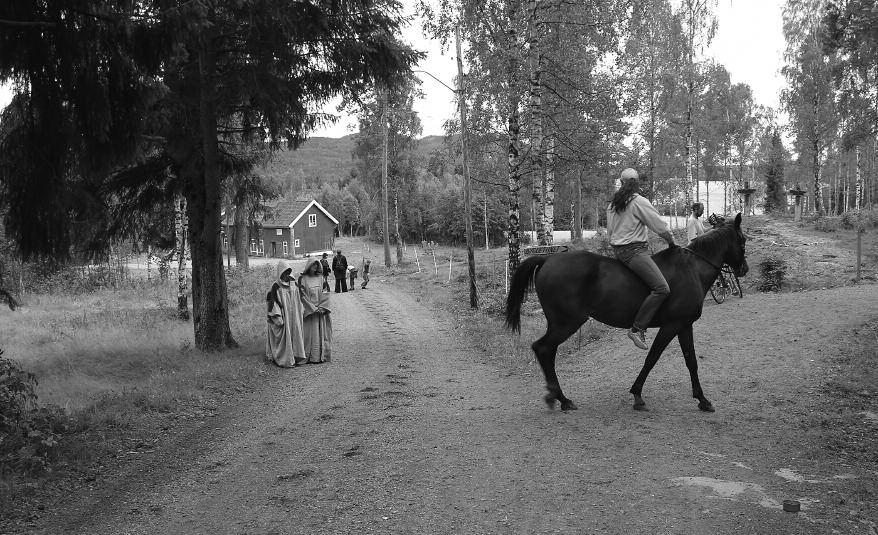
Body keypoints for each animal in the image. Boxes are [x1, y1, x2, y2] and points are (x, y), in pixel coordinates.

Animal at [508, 215, 748, 414]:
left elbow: (691, 361)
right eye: (743, 241)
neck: (692, 269)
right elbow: (652, 358)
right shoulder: (672, 325)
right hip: (566, 323)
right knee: (543, 348)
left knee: (547, 351)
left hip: (560, 324)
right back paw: (560, 398)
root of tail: (547, 259)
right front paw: (638, 395)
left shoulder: (684, 325)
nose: (744, 269)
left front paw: (702, 400)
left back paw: (557, 397)